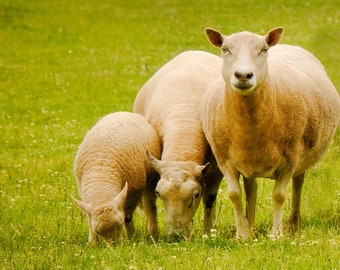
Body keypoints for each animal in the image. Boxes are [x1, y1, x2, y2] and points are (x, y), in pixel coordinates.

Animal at [72, 110, 162, 244]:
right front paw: (93, 242)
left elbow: (127, 217)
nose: (115, 246)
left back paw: (153, 234)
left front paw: (131, 237)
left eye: (119, 225)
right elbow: (89, 219)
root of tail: (123, 112)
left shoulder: (133, 192)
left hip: (150, 181)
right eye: (98, 231)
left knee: (150, 207)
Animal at [133, 50, 223, 236]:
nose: (176, 235)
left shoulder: (216, 172)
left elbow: (209, 200)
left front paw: (207, 232)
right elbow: (150, 204)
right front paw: (153, 235)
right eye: (160, 194)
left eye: (195, 195)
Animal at [202, 26, 340, 239]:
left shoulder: (290, 158)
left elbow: (279, 196)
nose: (243, 75)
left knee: (298, 184)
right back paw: (251, 226)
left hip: (301, 157)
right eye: (225, 49)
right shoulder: (224, 159)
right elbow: (235, 195)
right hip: (248, 160)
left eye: (263, 49)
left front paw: (276, 235)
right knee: (251, 188)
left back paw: (293, 224)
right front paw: (242, 235)